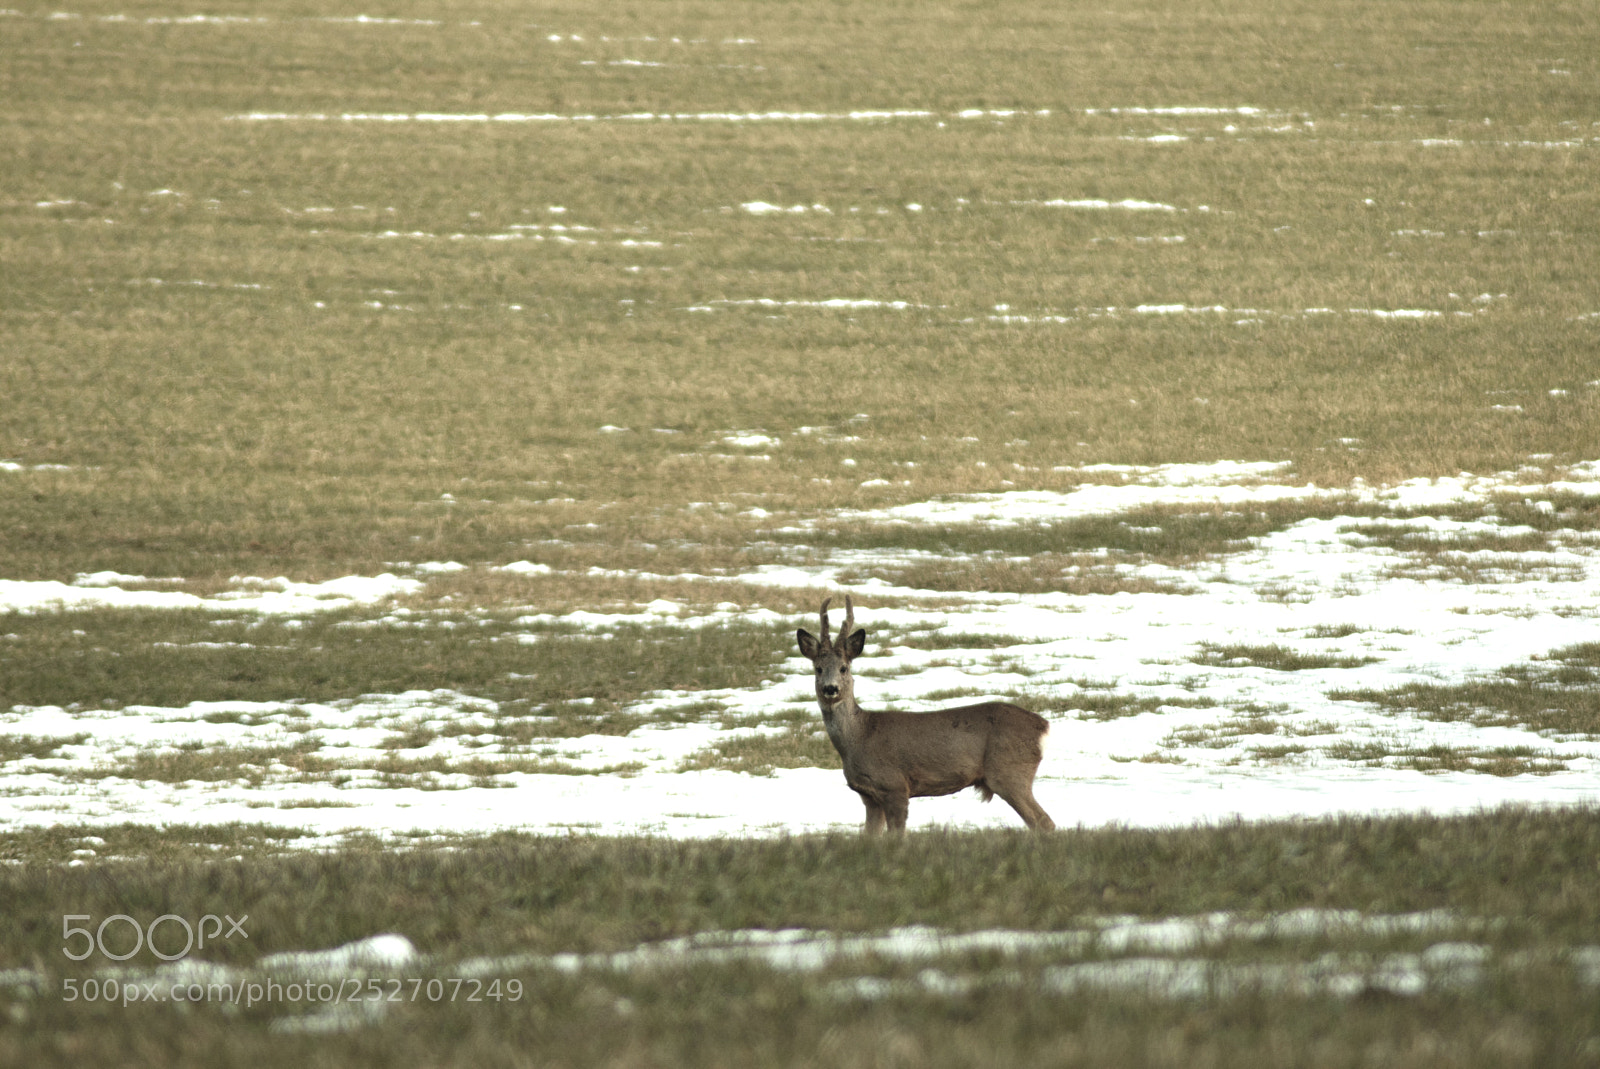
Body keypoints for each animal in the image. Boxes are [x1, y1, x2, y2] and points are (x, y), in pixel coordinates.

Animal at [796, 595, 1055, 834]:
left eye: (844, 668)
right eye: (818, 669)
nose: (830, 689)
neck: (859, 736)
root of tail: (1043, 726)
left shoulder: (895, 786)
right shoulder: (869, 796)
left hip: (1009, 772)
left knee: (1043, 822)